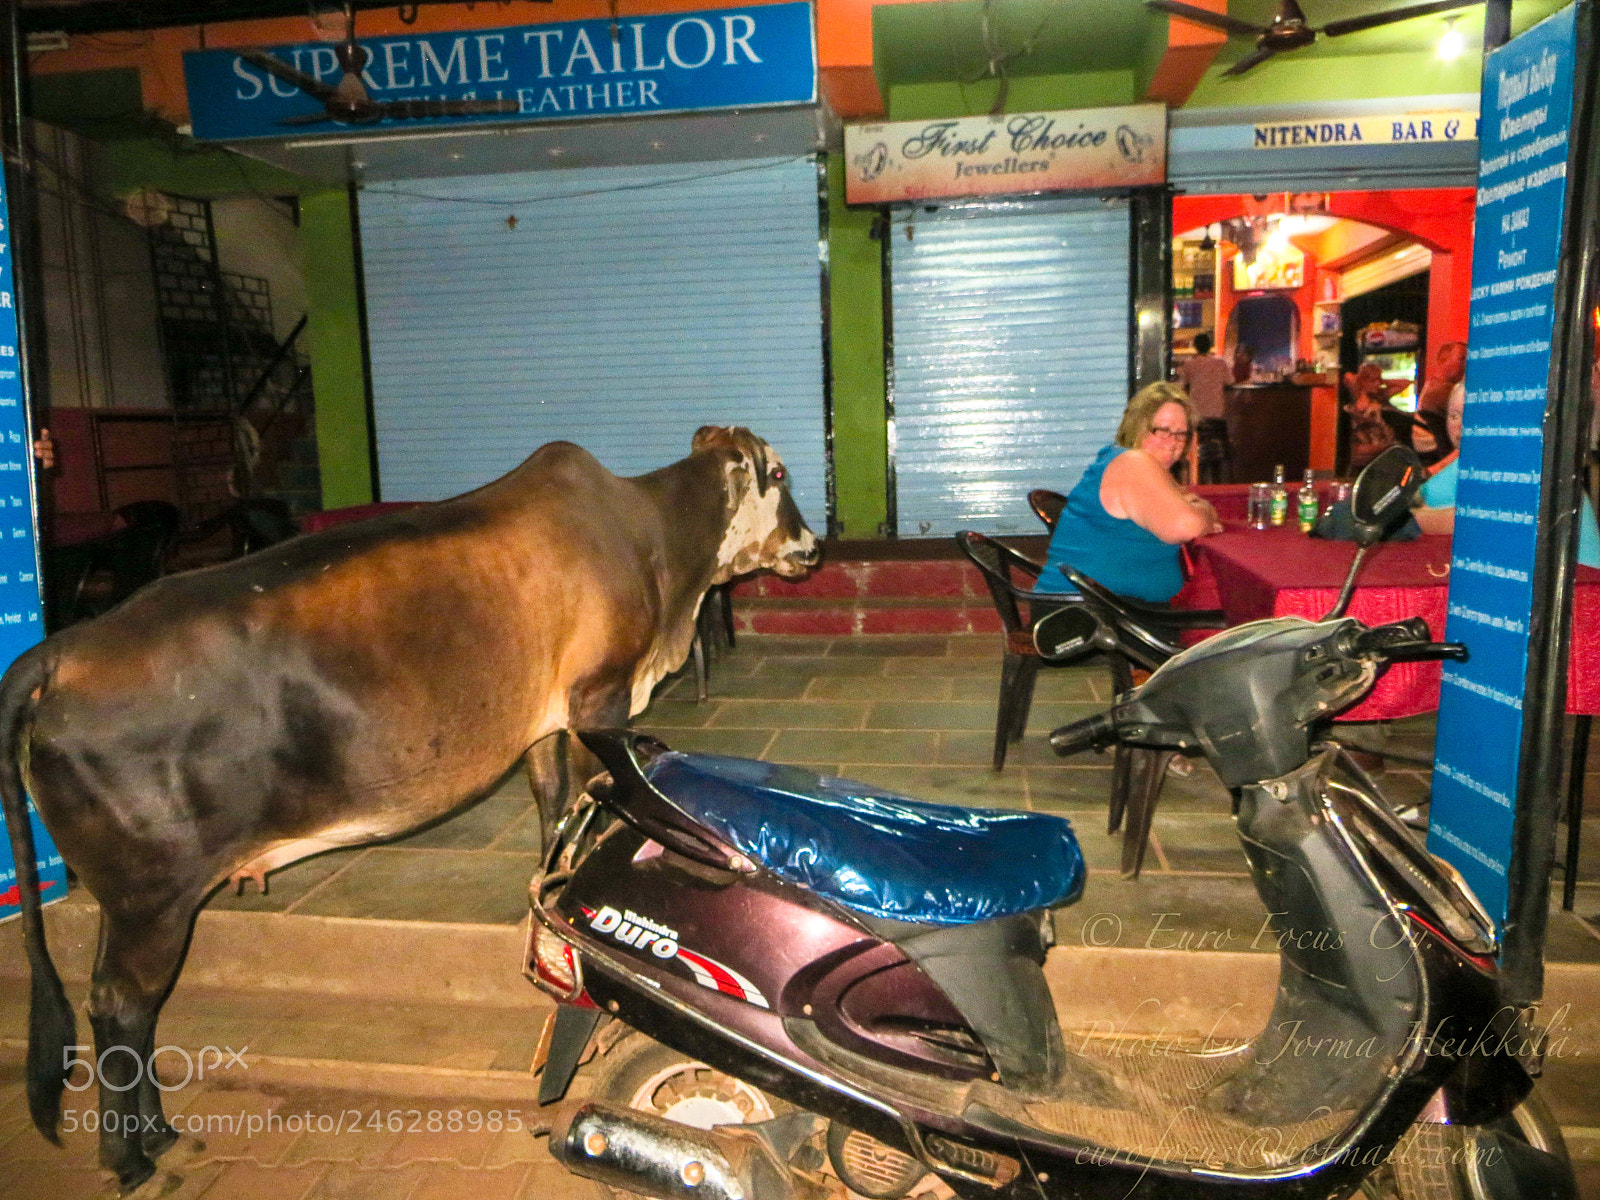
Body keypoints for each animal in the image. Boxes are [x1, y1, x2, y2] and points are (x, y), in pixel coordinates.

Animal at [0, 422, 819, 1196]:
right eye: (778, 473)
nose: (811, 547)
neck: (655, 540)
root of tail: (56, 654)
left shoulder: (544, 724)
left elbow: (552, 805)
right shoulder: (601, 698)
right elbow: (590, 802)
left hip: (127, 899)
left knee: (121, 1008)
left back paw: (158, 1135)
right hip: (154, 898)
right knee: (122, 1008)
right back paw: (134, 1156)